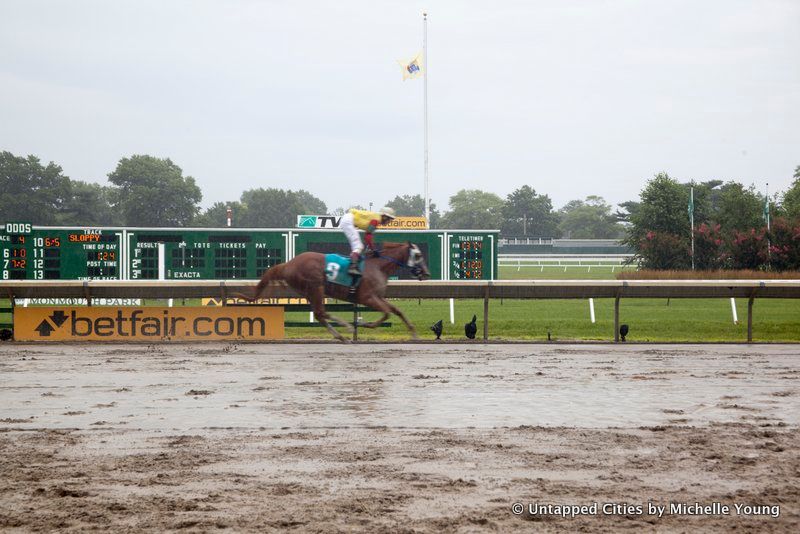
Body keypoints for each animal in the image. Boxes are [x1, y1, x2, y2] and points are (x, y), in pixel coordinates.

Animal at [247, 244, 432, 344]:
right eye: (418, 255)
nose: (426, 273)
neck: (378, 267)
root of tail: (288, 264)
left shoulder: (378, 297)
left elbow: (396, 311)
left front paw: (414, 333)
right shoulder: (367, 297)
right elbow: (386, 313)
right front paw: (366, 324)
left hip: (309, 291)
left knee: (319, 314)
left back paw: (341, 335)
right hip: (316, 287)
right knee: (321, 312)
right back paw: (347, 327)